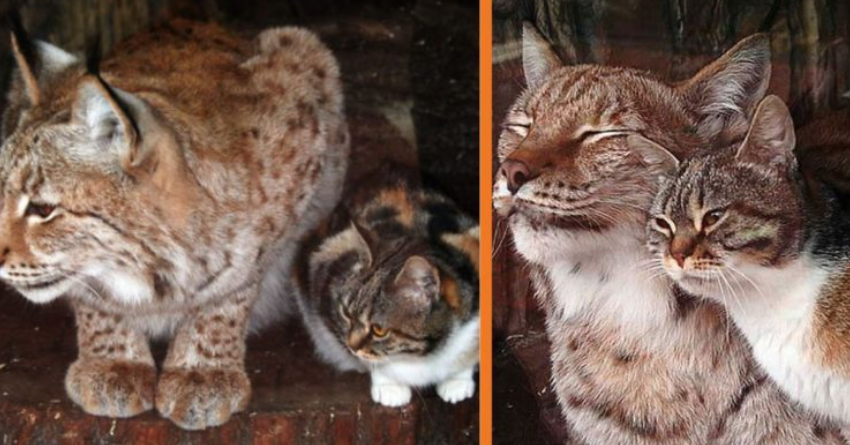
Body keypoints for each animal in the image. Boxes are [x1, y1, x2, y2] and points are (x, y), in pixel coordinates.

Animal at [0, 19, 348, 428]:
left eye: (42, 209)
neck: (154, 269)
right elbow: (93, 296)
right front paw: (114, 363)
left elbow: (236, 283)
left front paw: (201, 371)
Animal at [294, 164, 476, 406]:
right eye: (346, 314)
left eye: (379, 330)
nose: (351, 346)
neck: (424, 355)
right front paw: (390, 387)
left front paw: (457, 382)